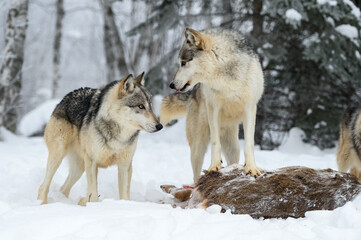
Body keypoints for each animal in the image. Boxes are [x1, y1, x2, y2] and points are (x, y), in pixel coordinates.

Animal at [37, 72, 162, 204]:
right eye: (141, 106)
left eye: (151, 106)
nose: (160, 126)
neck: (118, 135)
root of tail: (65, 97)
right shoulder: (92, 162)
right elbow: (94, 195)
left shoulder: (125, 165)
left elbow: (124, 196)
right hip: (59, 156)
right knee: (43, 186)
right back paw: (42, 203)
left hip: (79, 167)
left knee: (63, 189)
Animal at [160, 27, 264, 182]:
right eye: (180, 63)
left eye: (184, 63)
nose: (171, 85)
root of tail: (192, 93)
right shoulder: (213, 109)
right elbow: (215, 142)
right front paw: (214, 166)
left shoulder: (250, 108)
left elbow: (249, 144)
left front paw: (251, 168)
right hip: (198, 147)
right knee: (196, 174)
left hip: (233, 147)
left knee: (233, 159)